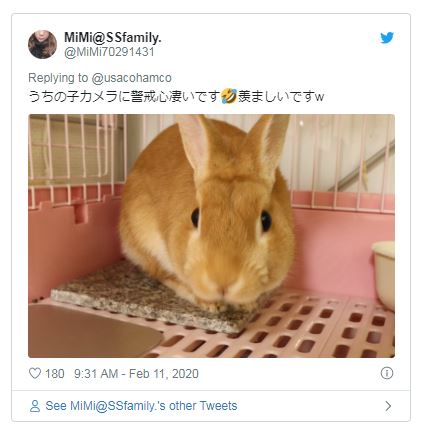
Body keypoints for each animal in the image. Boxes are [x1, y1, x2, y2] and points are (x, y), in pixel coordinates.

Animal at [119, 115, 295, 312]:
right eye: (195, 216)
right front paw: (212, 305)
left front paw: (247, 305)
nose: (223, 280)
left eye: (266, 220)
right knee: (161, 274)